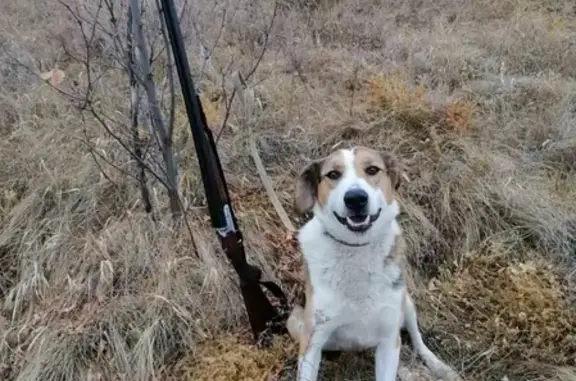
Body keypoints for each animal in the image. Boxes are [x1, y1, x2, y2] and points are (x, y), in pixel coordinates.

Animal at [286, 147, 460, 380]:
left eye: (372, 170)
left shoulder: (389, 340)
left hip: (406, 304)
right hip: (294, 324)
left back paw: (439, 366)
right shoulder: (311, 342)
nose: (356, 198)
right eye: (333, 174)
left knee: (417, 340)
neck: (357, 250)